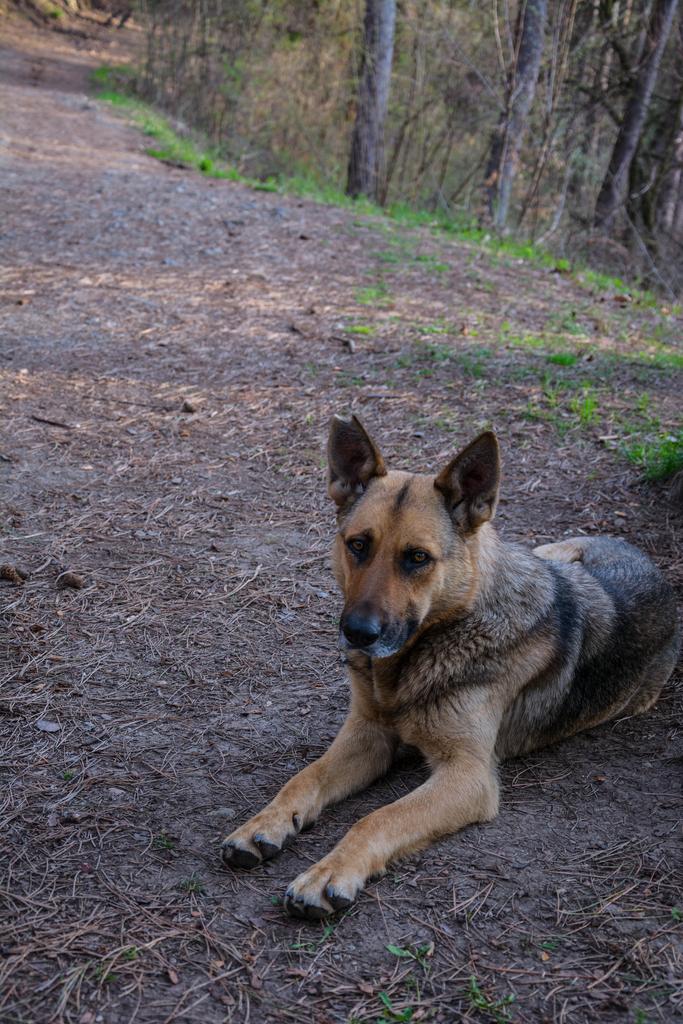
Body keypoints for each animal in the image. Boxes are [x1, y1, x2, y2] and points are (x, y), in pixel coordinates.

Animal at [222, 415, 679, 921]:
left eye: (417, 557)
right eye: (358, 545)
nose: (357, 634)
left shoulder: (468, 775)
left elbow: (377, 817)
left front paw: (329, 873)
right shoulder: (369, 735)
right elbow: (306, 776)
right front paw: (266, 821)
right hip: (544, 551)